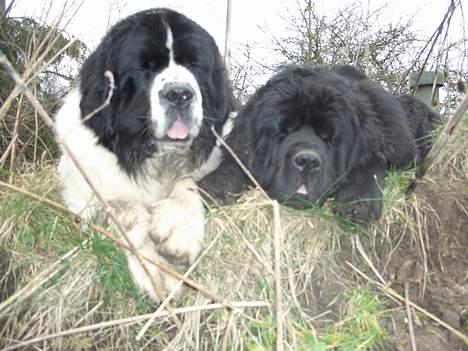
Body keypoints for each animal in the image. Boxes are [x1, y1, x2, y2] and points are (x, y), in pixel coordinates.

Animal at [55, 8, 234, 302]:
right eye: (146, 68)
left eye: (194, 65)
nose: (180, 94)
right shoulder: (82, 196)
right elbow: (125, 209)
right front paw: (157, 269)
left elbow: (188, 182)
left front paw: (179, 229)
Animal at [202, 64, 442, 221]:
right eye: (283, 132)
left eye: (329, 138)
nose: (307, 162)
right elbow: (232, 165)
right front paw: (213, 186)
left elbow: (369, 164)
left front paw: (359, 201)